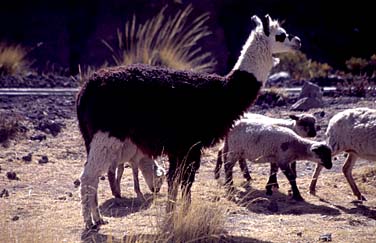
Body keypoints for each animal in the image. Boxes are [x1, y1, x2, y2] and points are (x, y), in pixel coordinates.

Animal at [75, 13, 302, 230]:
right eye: (281, 35)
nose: (298, 41)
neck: (224, 94)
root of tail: (87, 88)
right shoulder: (190, 144)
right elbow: (184, 180)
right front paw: (180, 214)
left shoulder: (181, 147)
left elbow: (176, 180)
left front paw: (174, 213)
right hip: (106, 134)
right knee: (88, 177)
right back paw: (90, 222)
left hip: (95, 137)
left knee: (92, 176)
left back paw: (98, 219)